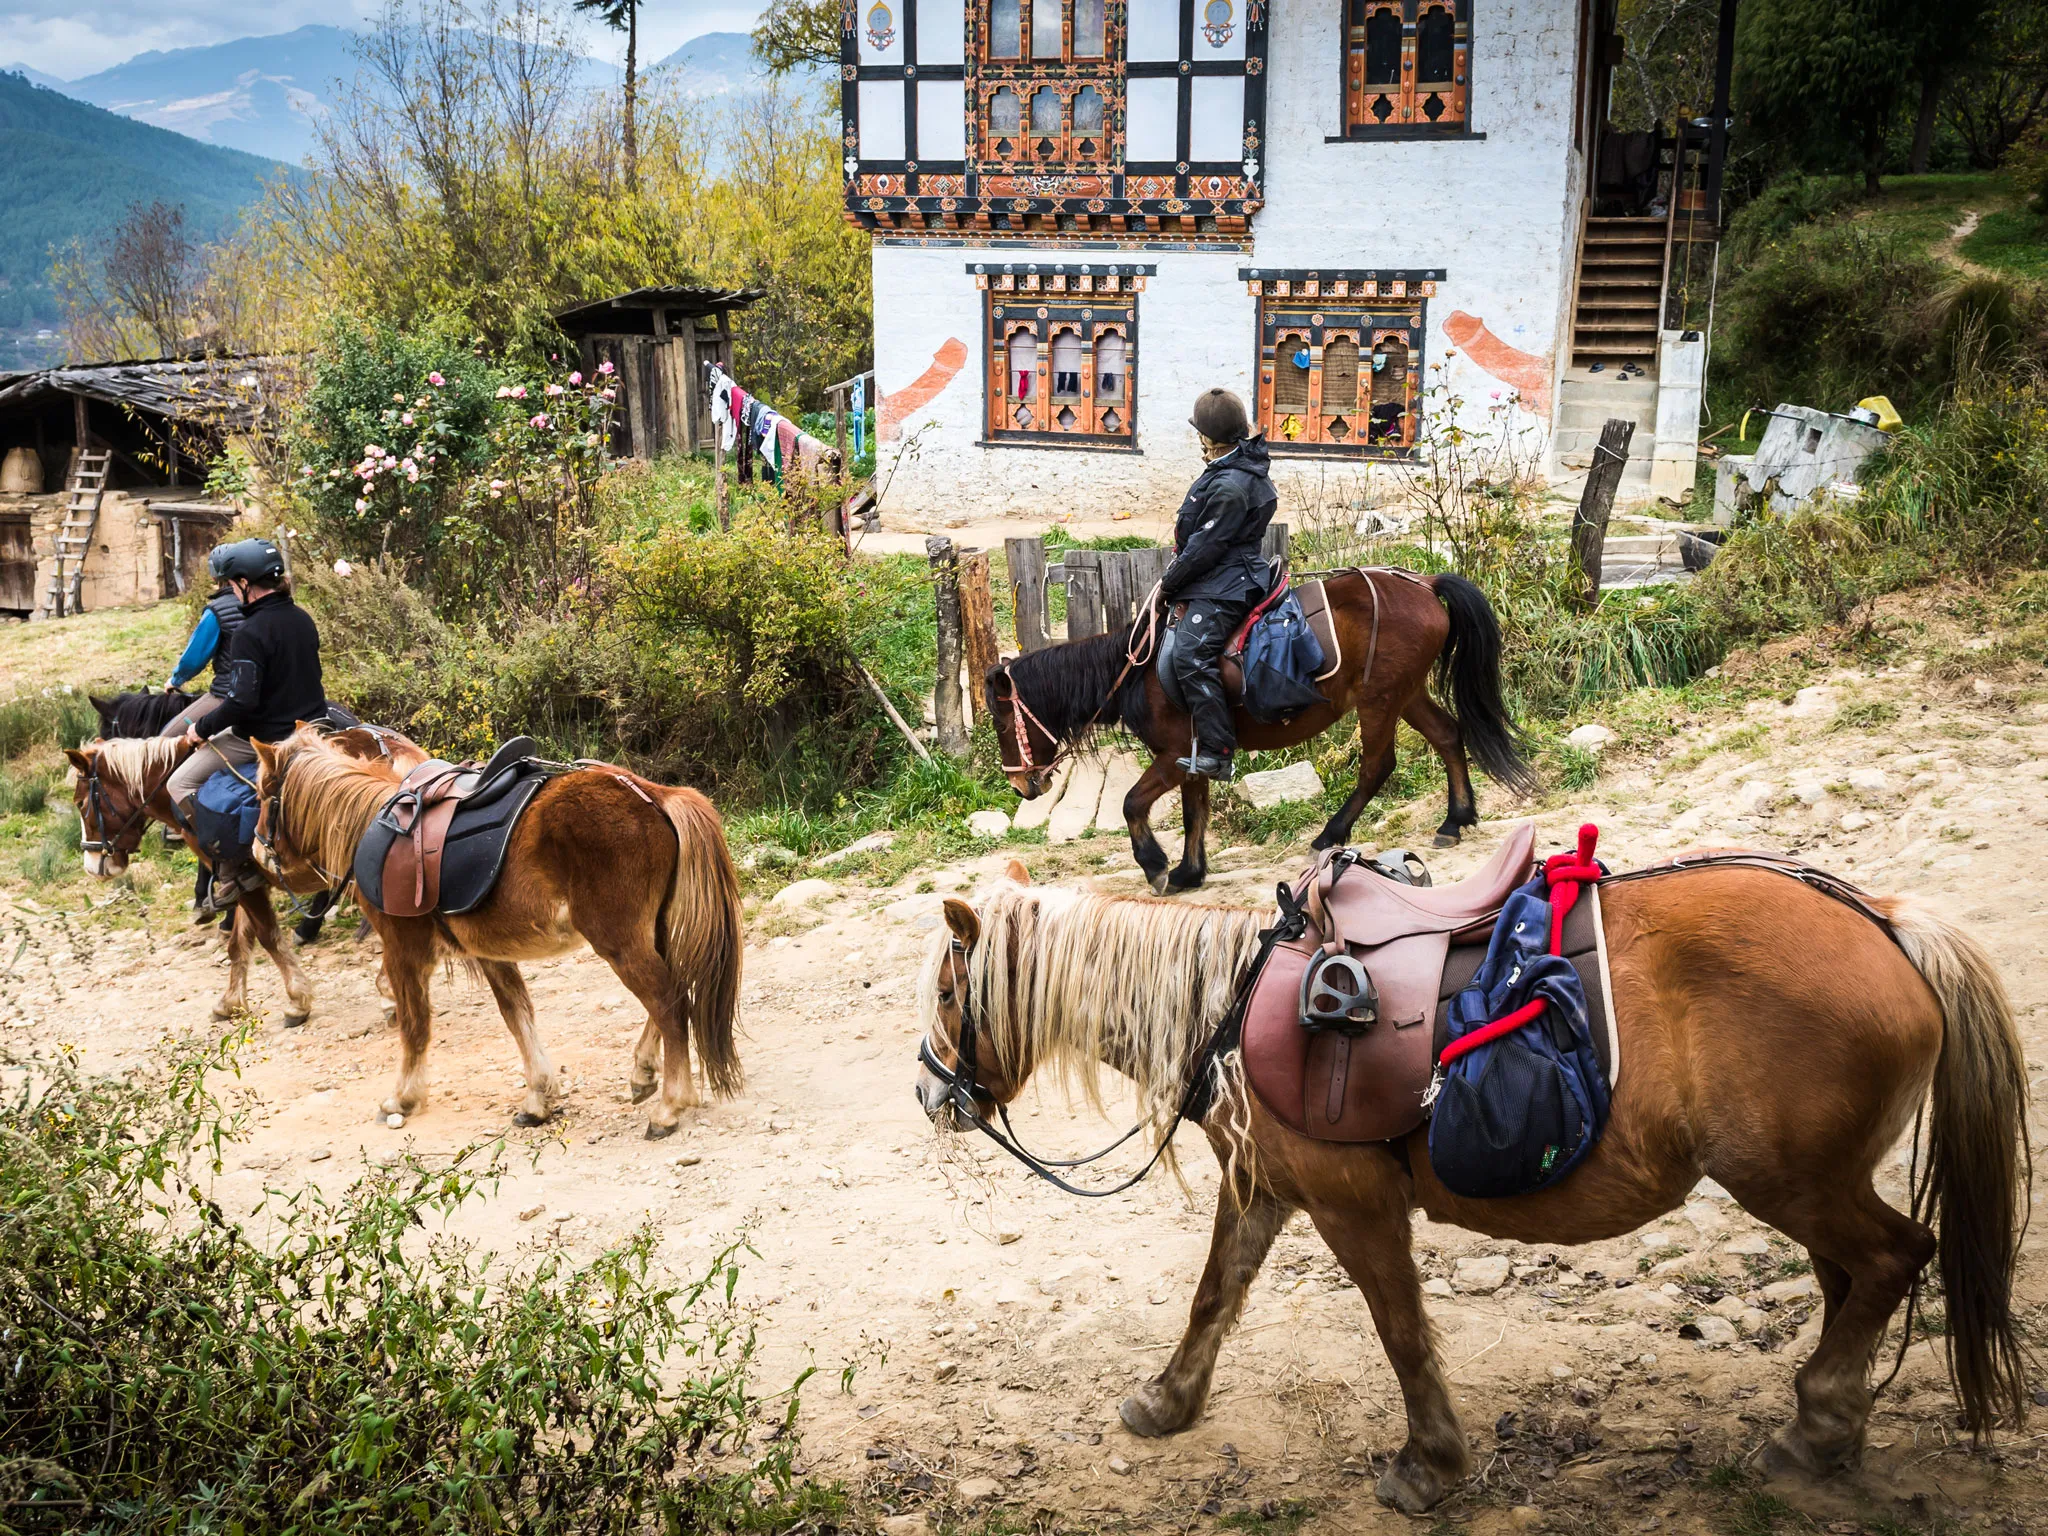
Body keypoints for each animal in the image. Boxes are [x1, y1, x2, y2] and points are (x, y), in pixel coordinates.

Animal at [248, 724, 745, 1146]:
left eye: (264, 795)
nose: (254, 850)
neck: (370, 822)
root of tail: (653, 794)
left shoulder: (404, 952)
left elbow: (415, 1026)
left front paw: (403, 1098)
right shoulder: (490, 954)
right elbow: (517, 1016)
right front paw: (539, 1098)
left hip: (619, 943)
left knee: (669, 1003)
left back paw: (670, 1106)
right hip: (649, 934)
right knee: (669, 997)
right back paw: (644, 1073)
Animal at [917, 868, 2031, 1515]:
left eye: (947, 991)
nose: (931, 1090)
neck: (1230, 1010)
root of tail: (1885, 924)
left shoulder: (1351, 1205)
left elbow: (1402, 1332)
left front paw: (1430, 1464)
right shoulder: (1261, 1185)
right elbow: (1213, 1297)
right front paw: (1165, 1401)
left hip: (1790, 1181)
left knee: (1894, 1258)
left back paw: (1817, 1426)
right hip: (1810, 1184)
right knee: (1852, 1281)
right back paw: (1829, 1428)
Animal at [987, 573, 1540, 897]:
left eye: (1001, 721)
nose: (1021, 785)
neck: (1138, 672)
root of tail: (1424, 582)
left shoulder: (1171, 755)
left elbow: (1131, 804)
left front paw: (1156, 867)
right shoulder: (1195, 758)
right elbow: (1194, 816)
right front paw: (1189, 872)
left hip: (1381, 701)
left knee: (1377, 766)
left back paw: (1330, 836)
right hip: (1405, 694)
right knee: (1448, 735)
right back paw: (1456, 819)